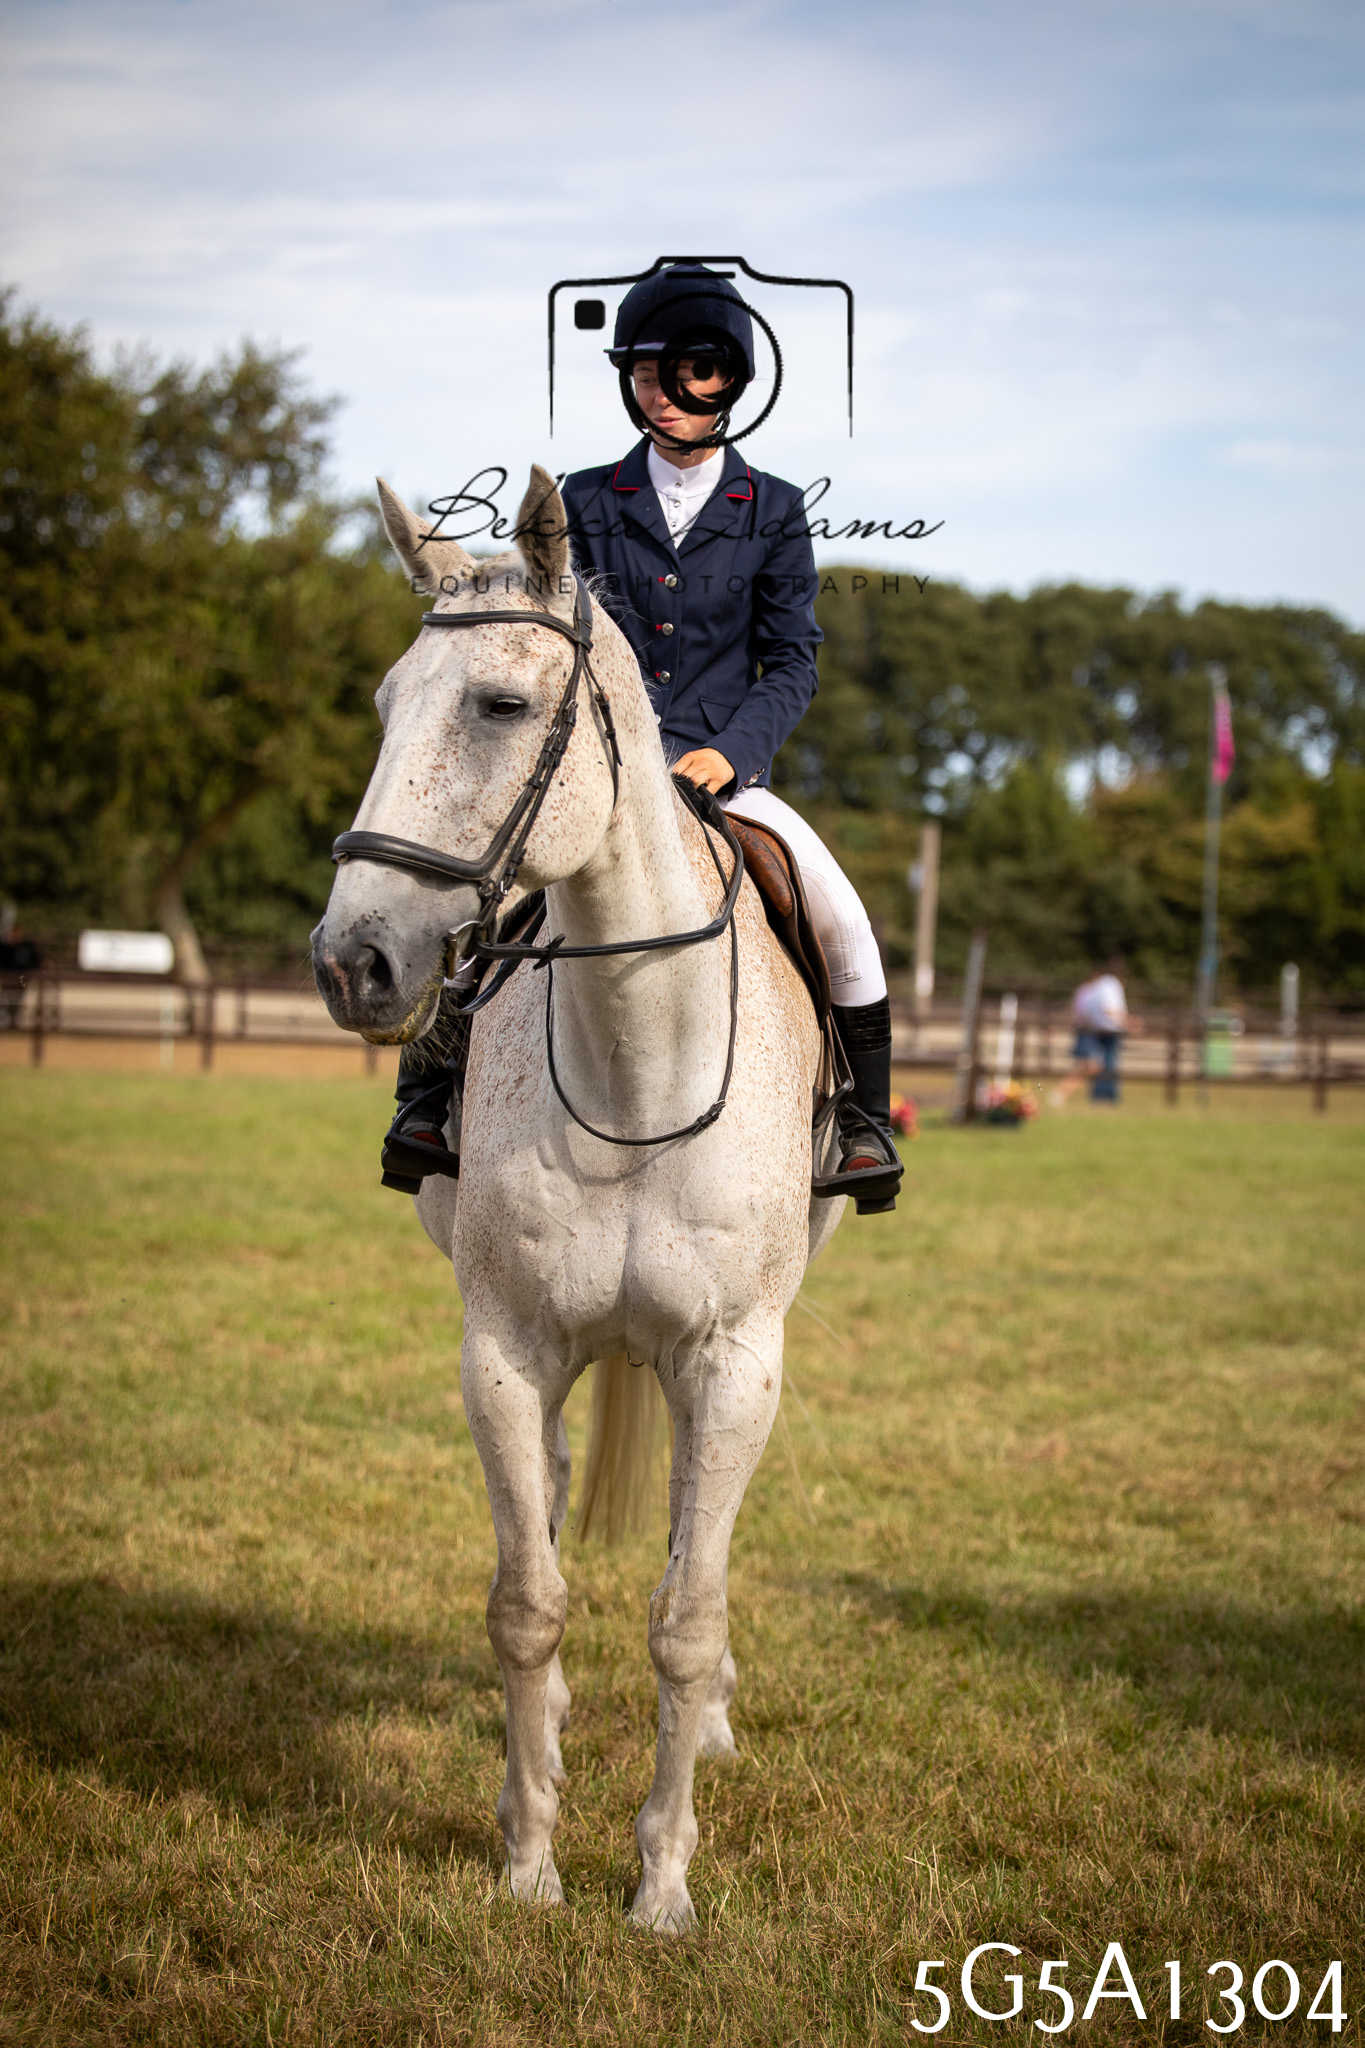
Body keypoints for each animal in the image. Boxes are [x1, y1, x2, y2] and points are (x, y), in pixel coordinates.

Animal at [312, 468, 846, 1932]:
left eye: (499, 705)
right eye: (385, 703)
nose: (350, 962)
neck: (633, 1061)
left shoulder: (733, 1362)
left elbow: (685, 1617)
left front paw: (660, 1881)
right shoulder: (502, 1351)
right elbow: (527, 1603)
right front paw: (531, 1855)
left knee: (686, 1558)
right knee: (549, 1512)